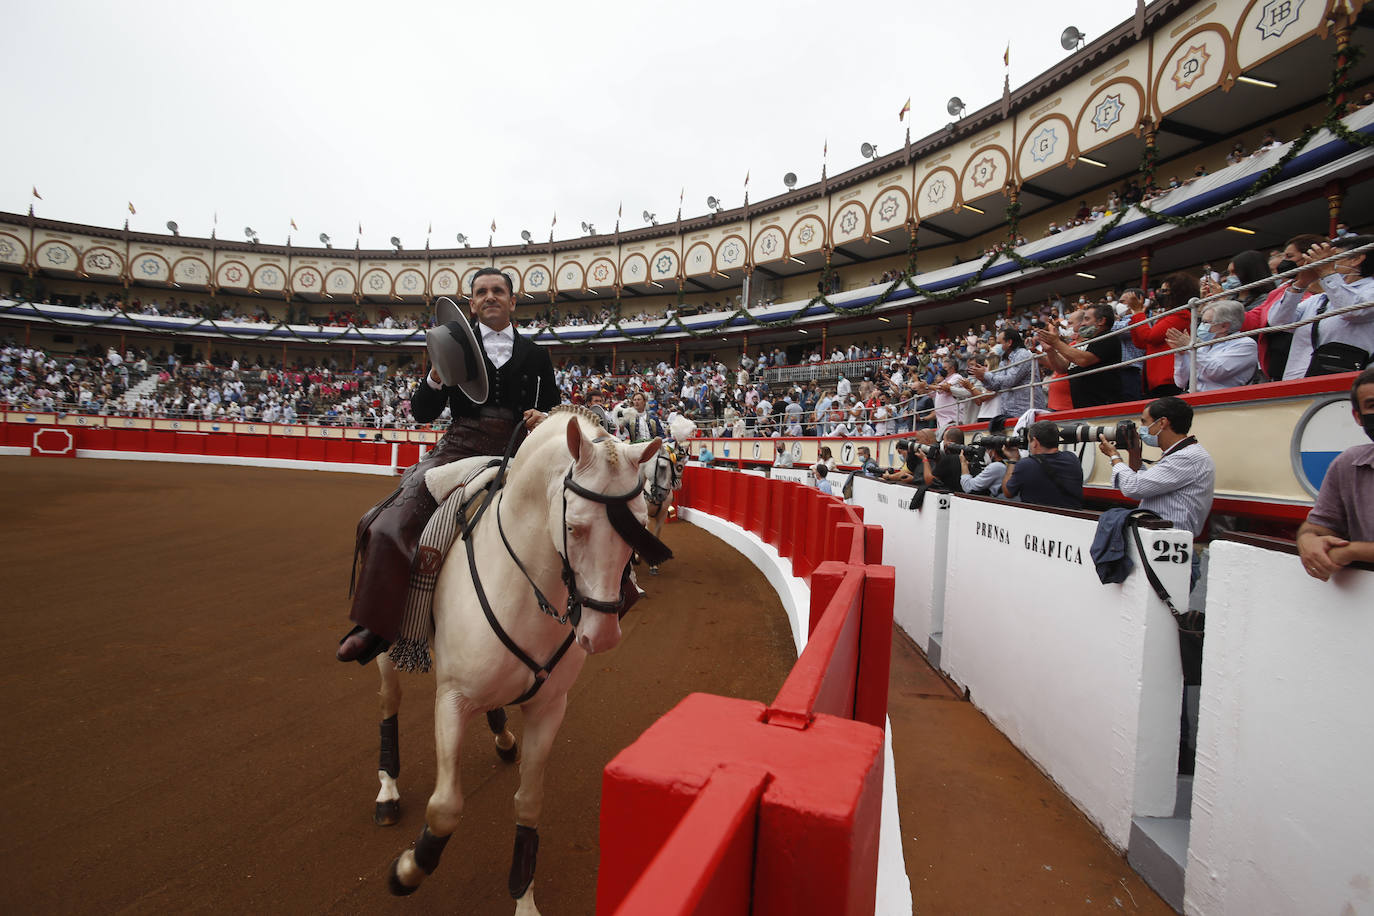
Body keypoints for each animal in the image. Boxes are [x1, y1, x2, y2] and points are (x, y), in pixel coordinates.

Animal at [384, 409, 667, 916]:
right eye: (574, 527)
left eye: (636, 526)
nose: (602, 634)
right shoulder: (451, 698)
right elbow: (446, 806)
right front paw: (408, 871)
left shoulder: (549, 706)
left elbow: (530, 801)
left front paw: (523, 895)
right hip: (381, 641)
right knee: (388, 697)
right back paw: (387, 790)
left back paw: (502, 737)